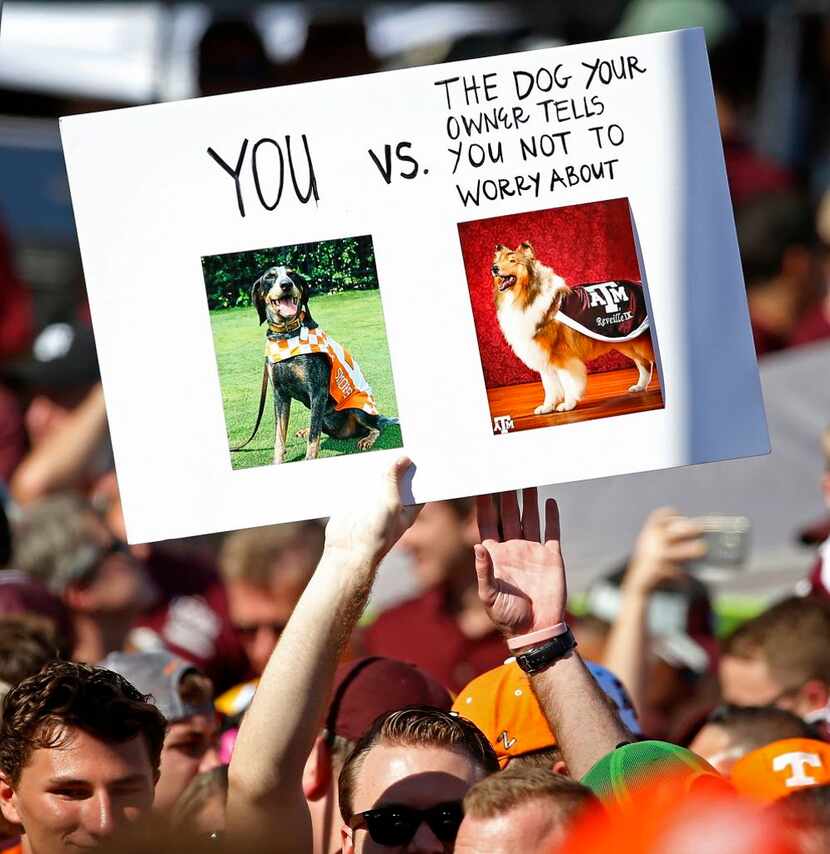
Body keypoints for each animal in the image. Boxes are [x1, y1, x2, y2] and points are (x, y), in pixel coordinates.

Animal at [490, 242, 652, 416]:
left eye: (513, 261)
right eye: (498, 261)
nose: (494, 268)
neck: (527, 296)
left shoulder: (563, 356)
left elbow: (568, 382)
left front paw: (567, 404)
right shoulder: (546, 358)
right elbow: (550, 387)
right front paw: (547, 407)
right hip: (627, 341)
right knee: (644, 363)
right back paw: (640, 387)